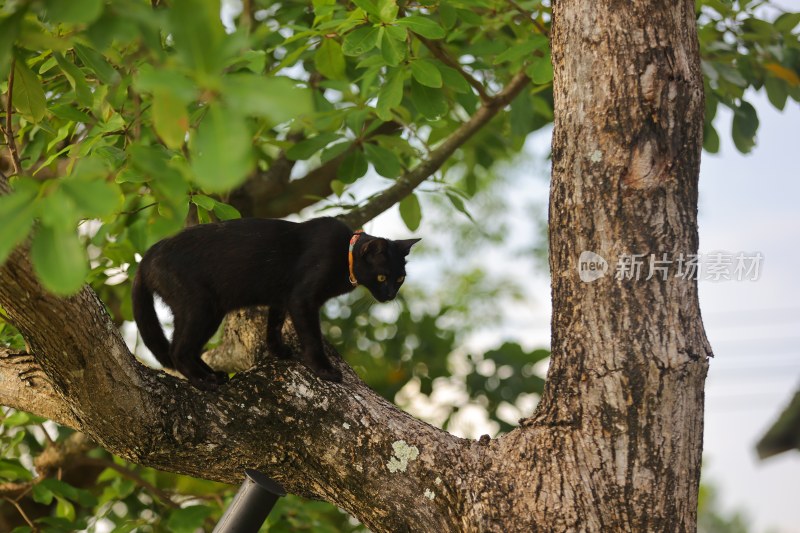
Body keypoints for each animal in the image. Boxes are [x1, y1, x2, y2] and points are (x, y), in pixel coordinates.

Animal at [133, 215, 418, 386]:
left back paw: (213, 374)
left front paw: (278, 350)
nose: (390, 294)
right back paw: (204, 381)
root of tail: (147, 256)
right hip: (201, 307)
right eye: (382, 277)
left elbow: (274, 325)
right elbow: (312, 337)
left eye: (400, 278)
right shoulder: (302, 299)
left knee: (187, 348)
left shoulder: (281, 297)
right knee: (178, 350)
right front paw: (323, 369)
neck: (343, 254)